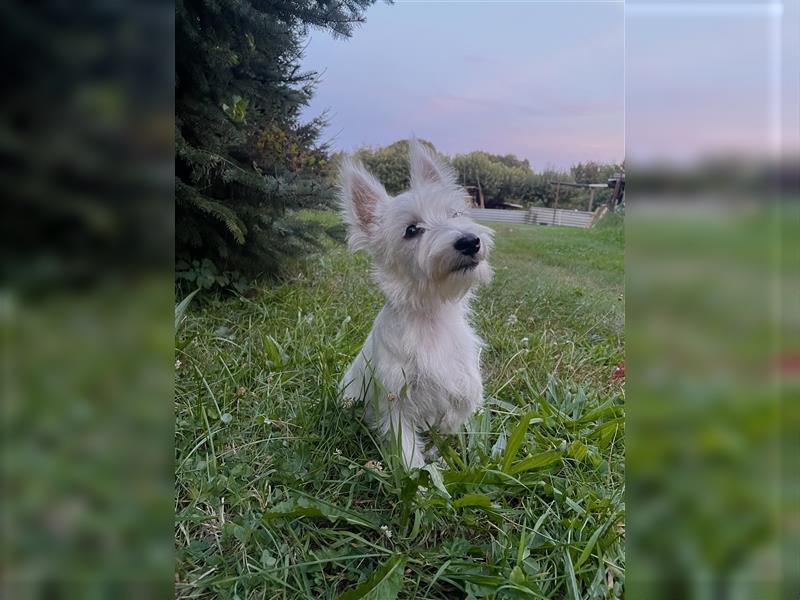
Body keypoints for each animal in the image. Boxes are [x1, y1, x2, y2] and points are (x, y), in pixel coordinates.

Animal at [338, 141, 494, 468]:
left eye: (455, 213)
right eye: (411, 230)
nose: (469, 241)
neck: (432, 316)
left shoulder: (462, 387)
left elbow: (452, 418)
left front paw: (438, 449)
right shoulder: (397, 404)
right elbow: (408, 451)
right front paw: (420, 476)